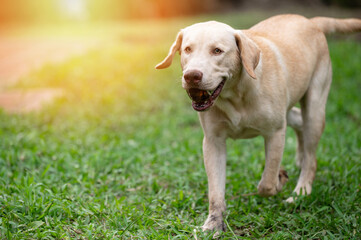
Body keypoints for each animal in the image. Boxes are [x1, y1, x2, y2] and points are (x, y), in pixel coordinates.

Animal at [155, 14, 360, 232]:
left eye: (217, 50)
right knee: (298, 121)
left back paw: (300, 192)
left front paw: (279, 180)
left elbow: (266, 184)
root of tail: (310, 21)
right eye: (187, 49)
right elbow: (215, 191)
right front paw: (214, 222)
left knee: (311, 158)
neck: (236, 94)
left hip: (315, 107)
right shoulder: (213, 141)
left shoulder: (275, 132)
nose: (191, 76)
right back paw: (300, 157)